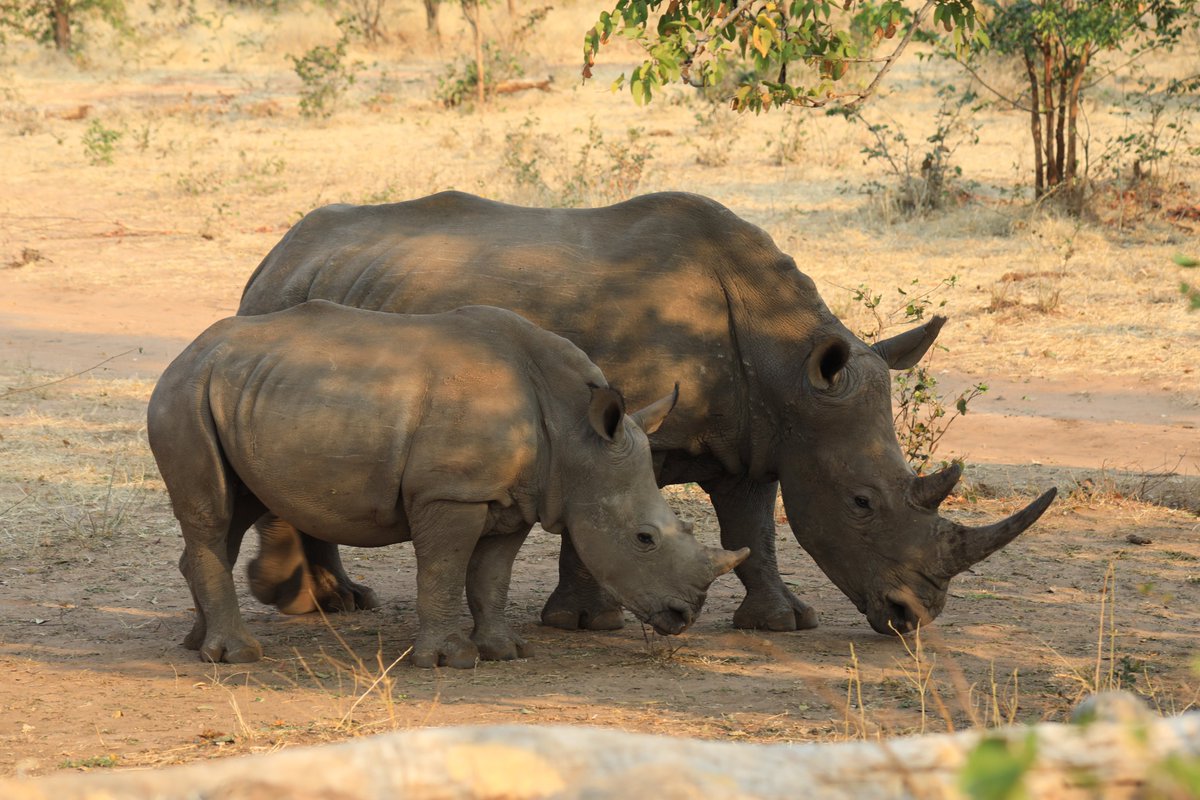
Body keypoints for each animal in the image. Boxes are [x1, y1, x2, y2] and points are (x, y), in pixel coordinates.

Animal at [146, 301, 749, 666]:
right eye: (644, 538)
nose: (685, 618)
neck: (577, 434)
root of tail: (187, 350)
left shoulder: (517, 497)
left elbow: (491, 576)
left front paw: (505, 651)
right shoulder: (452, 492)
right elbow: (443, 570)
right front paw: (448, 660)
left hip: (242, 391)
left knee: (235, 508)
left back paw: (198, 646)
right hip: (186, 392)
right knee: (212, 513)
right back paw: (236, 655)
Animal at [237, 191, 1057, 636]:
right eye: (861, 502)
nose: (915, 618)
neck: (787, 363)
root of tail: (280, 249)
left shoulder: (763, 433)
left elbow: (754, 524)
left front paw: (781, 622)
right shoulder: (626, 422)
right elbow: (610, 509)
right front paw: (587, 621)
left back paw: (334, 601)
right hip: (282, 307)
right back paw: (313, 602)